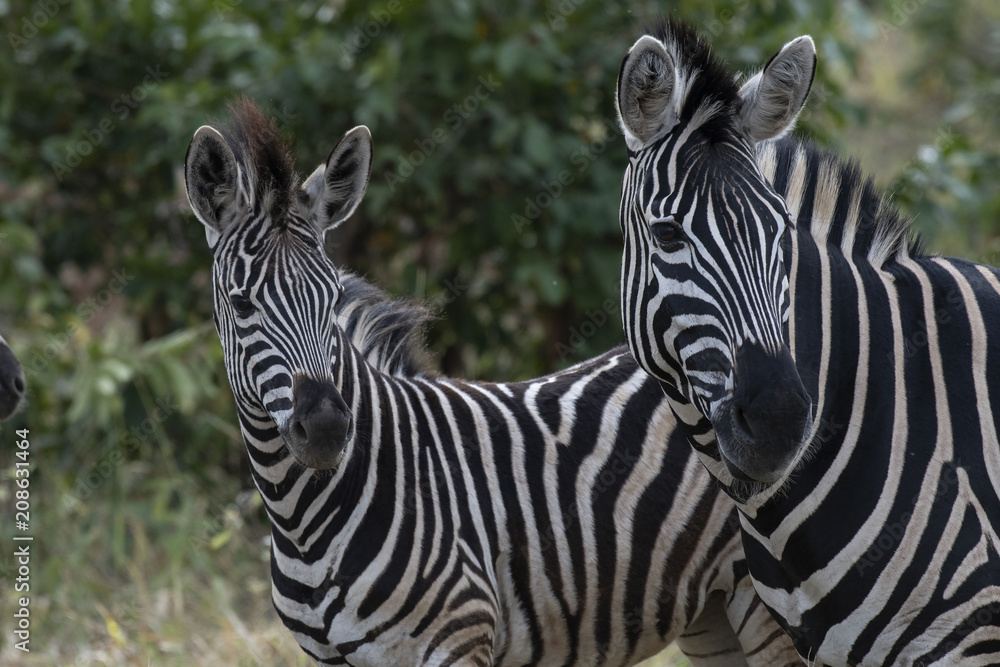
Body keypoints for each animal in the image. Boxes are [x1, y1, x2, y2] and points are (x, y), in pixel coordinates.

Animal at [183, 98, 800, 665]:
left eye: (332, 298)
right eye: (241, 304)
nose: (330, 428)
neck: (304, 521)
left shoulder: (459, 637)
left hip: (762, 603)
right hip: (713, 610)